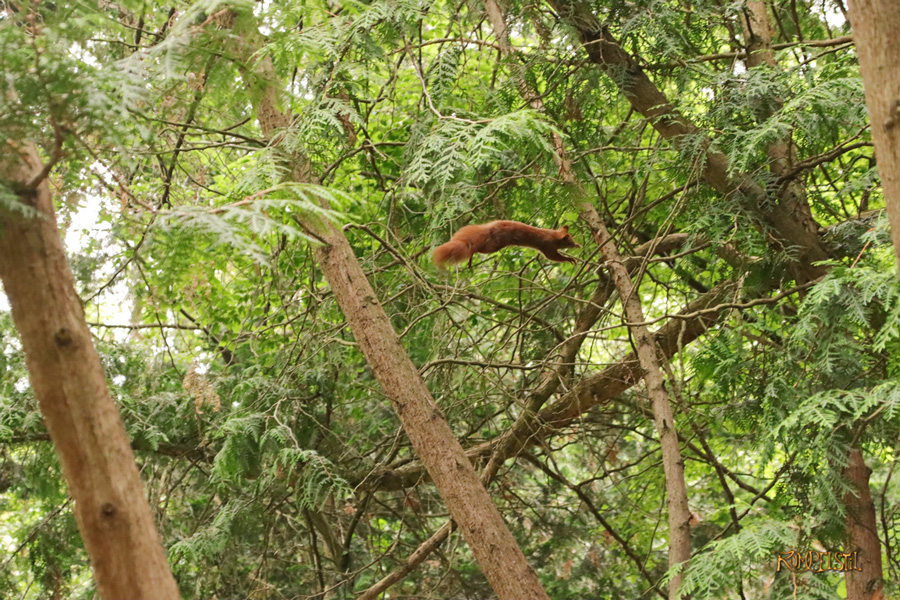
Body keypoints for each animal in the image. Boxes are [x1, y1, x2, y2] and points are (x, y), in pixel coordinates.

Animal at [433, 220, 580, 268]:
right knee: (477, 248)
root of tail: (488, 228)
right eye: (569, 241)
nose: (575, 244)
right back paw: (471, 256)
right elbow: (553, 257)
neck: (553, 236)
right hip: (494, 245)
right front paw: (569, 259)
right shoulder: (547, 247)